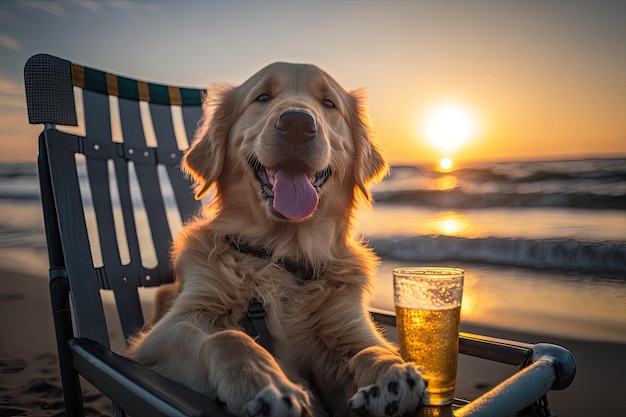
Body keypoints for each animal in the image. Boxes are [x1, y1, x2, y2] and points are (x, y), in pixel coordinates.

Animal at [129, 62, 426, 416]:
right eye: (262, 97)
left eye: (329, 103)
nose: (298, 123)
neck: (283, 255)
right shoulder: (163, 334)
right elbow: (228, 337)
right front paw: (263, 381)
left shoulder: (346, 323)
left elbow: (369, 348)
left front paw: (391, 372)